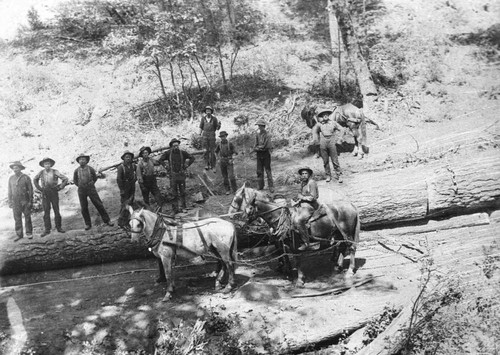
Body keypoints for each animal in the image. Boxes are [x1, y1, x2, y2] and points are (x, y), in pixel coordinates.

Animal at [227, 184, 360, 286]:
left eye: (237, 199)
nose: (231, 216)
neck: (279, 216)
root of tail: (351, 205)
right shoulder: (282, 242)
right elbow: (284, 255)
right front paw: (287, 271)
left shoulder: (293, 244)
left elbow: (296, 259)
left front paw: (298, 279)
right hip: (339, 233)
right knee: (342, 246)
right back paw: (337, 266)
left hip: (347, 233)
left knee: (351, 247)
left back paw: (349, 271)